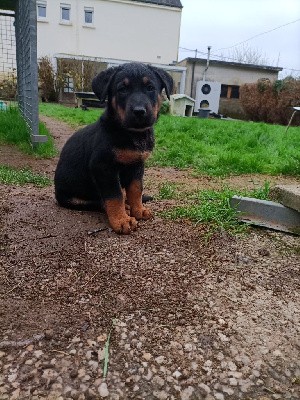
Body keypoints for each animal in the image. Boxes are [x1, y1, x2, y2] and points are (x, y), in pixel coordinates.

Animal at [54, 62, 173, 234]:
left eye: (150, 88)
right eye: (122, 89)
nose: (139, 111)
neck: (131, 133)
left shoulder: (137, 165)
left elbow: (136, 190)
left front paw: (138, 210)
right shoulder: (104, 167)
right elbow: (114, 196)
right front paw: (121, 220)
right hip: (74, 198)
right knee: (99, 201)